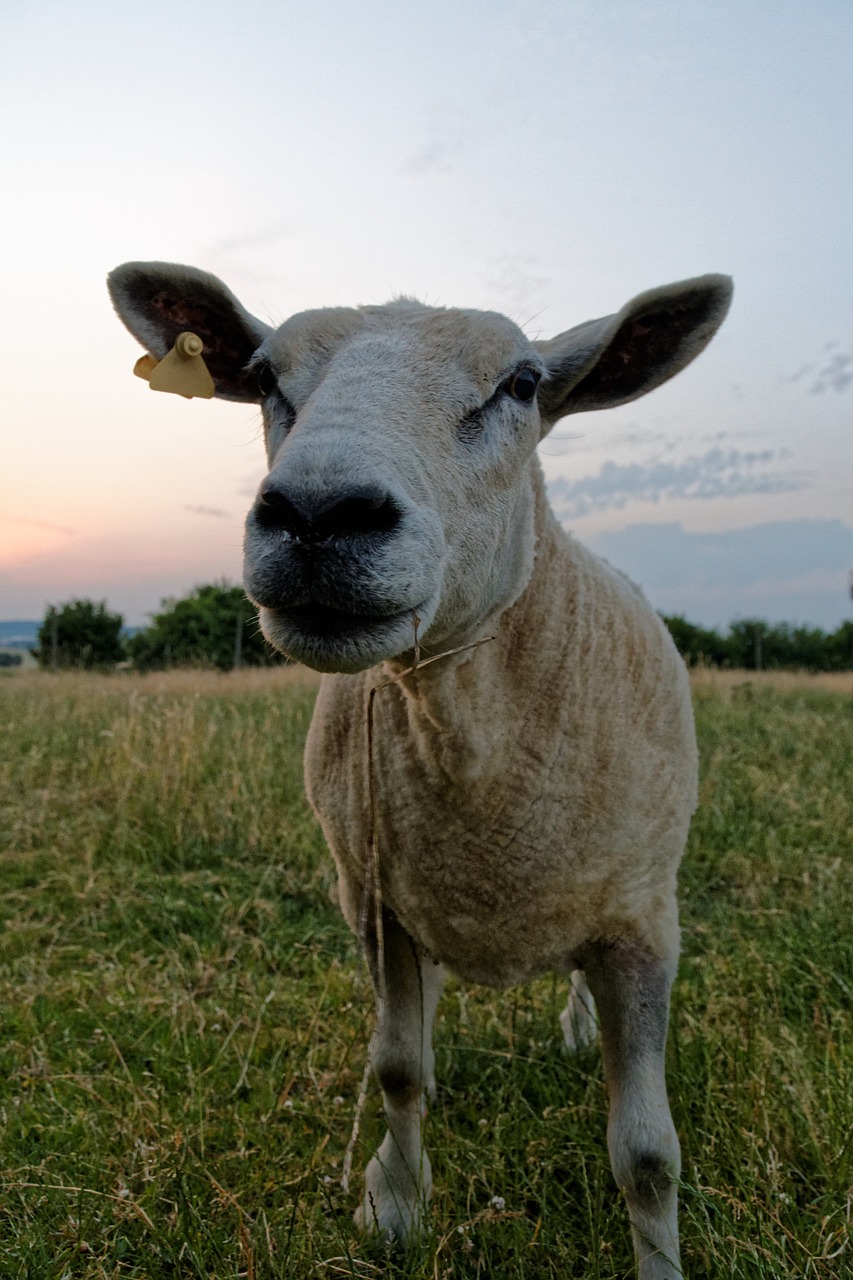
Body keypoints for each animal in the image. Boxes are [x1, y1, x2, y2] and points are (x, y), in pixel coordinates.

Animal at [106, 262, 732, 1280]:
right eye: (266, 377)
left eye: (522, 384)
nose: (318, 515)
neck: (467, 738)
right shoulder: (377, 901)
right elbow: (398, 1067)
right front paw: (395, 1203)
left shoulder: (643, 923)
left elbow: (645, 1154)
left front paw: (660, 1260)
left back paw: (575, 1028)